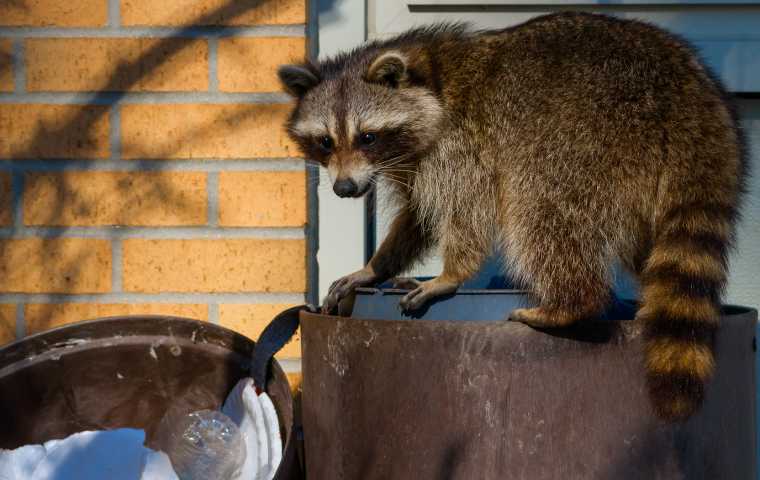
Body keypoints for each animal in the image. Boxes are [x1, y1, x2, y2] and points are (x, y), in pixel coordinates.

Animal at [278, 8, 744, 420]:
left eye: (368, 137)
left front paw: (452, 273)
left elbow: (467, 208)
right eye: (324, 142)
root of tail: (691, 97)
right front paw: (376, 266)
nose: (344, 189)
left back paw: (570, 303)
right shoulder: (414, 162)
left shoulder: (462, 144)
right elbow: (418, 217)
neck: (430, 78)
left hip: (590, 133)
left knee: (540, 205)